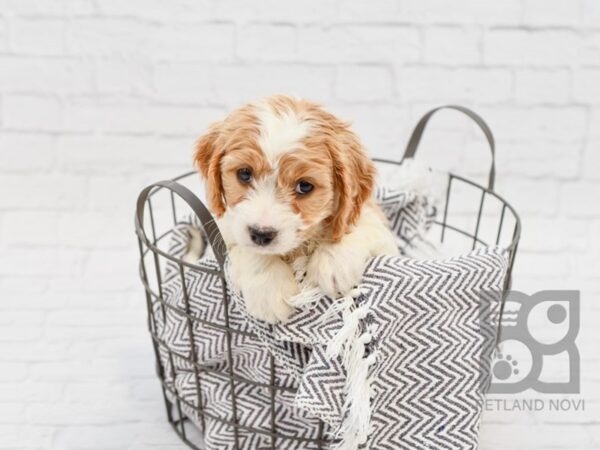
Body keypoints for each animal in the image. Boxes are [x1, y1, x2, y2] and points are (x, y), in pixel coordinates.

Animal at [192, 95, 398, 324]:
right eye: (244, 174)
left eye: (304, 186)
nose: (261, 234)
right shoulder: (226, 230)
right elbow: (245, 249)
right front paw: (269, 288)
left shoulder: (382, 235)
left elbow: (360, 227)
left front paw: (334, 262)